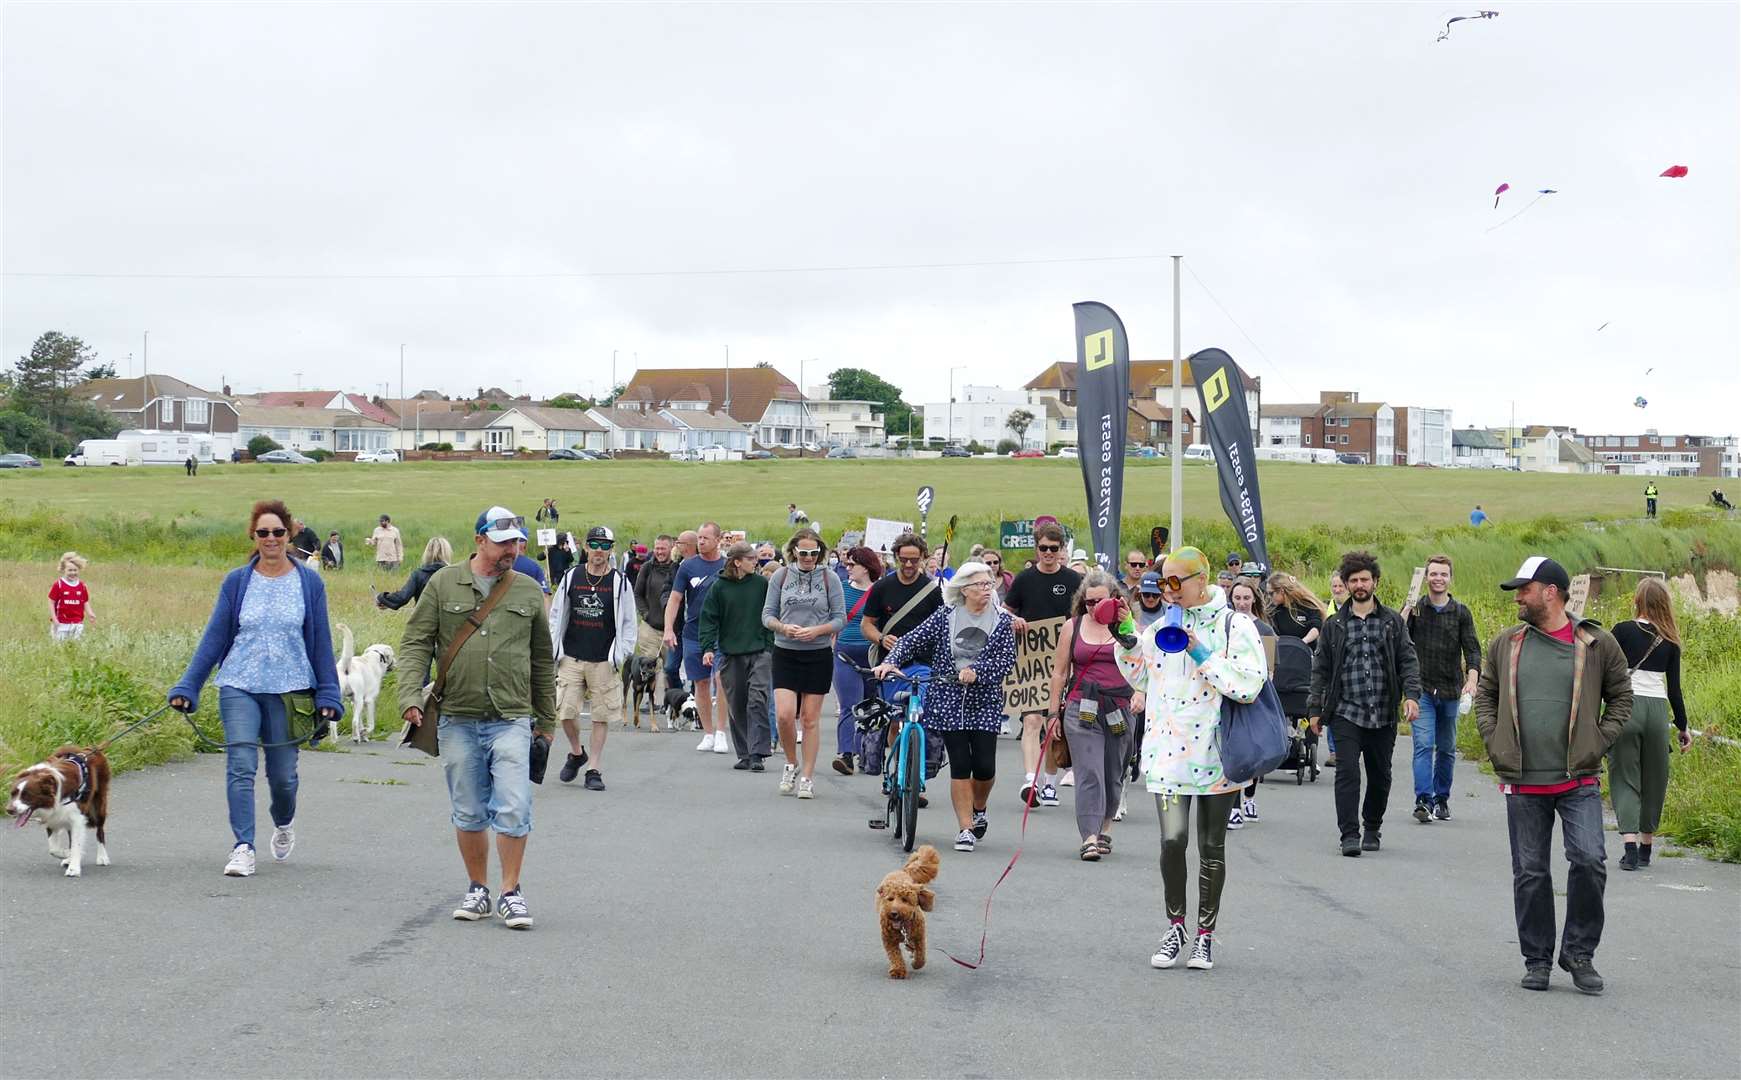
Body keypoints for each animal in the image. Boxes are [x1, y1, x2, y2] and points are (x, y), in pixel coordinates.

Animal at [8, 745, 112, 874]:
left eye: (27, 796)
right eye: (12, 794)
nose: (9, 810)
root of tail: (92, 748)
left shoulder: (77, 818)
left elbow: (76, 844)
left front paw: (73, 869)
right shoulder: (52, 816)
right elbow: (53, 849)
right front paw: (67, 855)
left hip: (98, 806)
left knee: (100, 831)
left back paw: (102, 857)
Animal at [870, 843, 940, 975]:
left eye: (905, 900)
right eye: (890, 899)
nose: (894, 913)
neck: (902, 926)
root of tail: (902, 871)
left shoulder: (920, 936)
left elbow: (921, 954)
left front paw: (917, 964)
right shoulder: (889, 940)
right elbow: (895, 956)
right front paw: (898, 970)